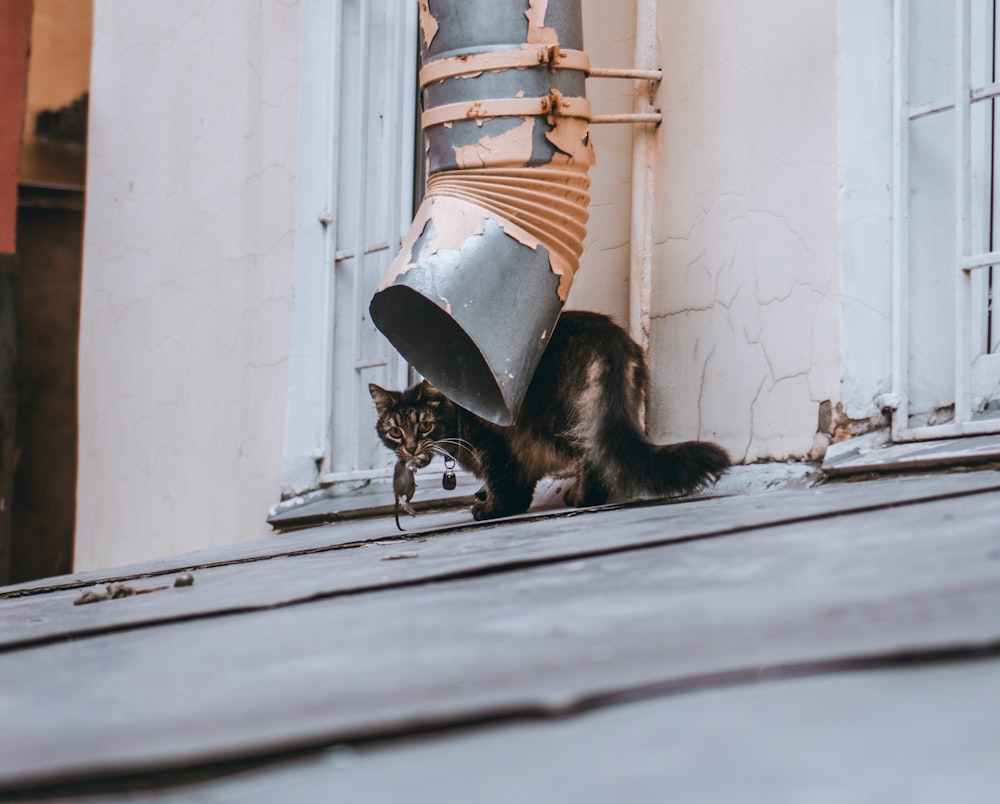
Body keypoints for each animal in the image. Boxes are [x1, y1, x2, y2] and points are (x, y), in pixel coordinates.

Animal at [372, 308, 732, 520]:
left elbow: (507, 483)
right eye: (395, 432)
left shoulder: (495, 443)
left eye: (424, 426)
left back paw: (583, 496)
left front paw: (491, 508)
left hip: (558, 423)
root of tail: (606, 335)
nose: (410, 448)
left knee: (593, 458)